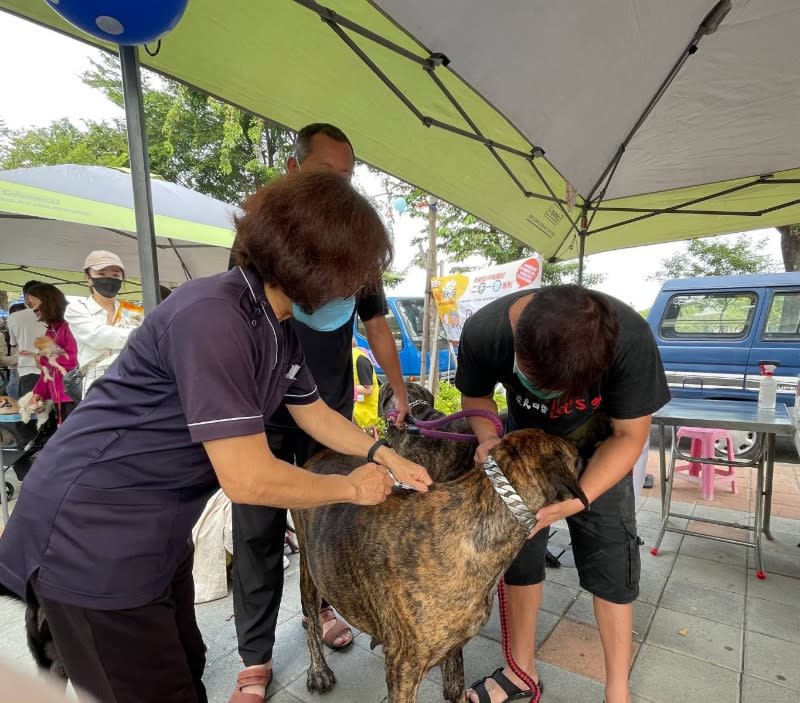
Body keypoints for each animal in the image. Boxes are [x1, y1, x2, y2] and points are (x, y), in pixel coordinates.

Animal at [294, 418, 588, 703]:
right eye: (576, 457)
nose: (586, 452)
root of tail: (324, 452)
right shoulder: (404, 668)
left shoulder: (453, 648)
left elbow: (455, 687)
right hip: (308, 572)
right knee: (313, 624)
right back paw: (318, 671)